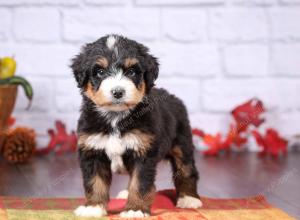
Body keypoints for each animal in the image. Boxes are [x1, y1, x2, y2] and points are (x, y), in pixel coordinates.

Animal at [71, 34, 202, 218]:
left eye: (131, 72)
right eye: (100, 72)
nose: (118, 92)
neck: (116, 118)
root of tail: (173, 97)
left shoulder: (144, 153)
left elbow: (140, 183)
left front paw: (135, 209)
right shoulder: (92, 150)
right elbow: (95, 182)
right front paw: (93, 207)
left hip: (182, 144)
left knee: (187, 170)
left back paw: (189, 198)